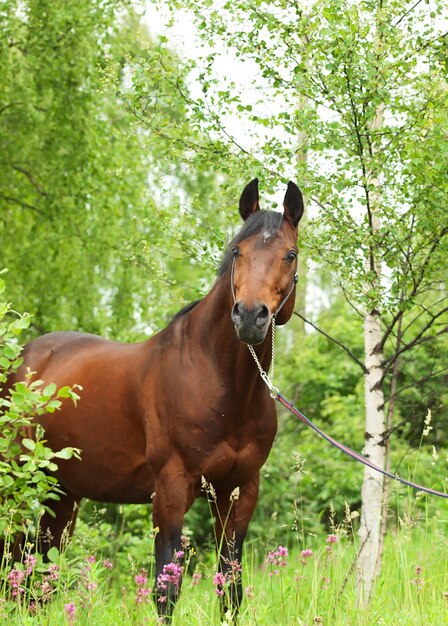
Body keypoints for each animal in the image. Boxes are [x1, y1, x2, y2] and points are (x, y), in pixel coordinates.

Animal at [6, 178, 304, 616]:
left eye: (290, 254)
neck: (221, 385)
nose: (250, 316)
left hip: (62, 495)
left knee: (38, 577)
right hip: (20, 483)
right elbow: (167, 590)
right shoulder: (170, 490)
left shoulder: (240, 491)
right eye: (237, 251)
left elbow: (230, 589)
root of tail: (23, 357)